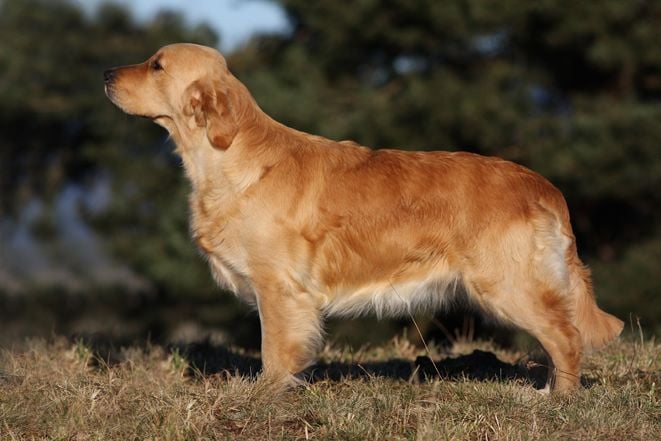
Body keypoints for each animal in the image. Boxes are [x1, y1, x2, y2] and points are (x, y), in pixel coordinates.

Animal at [105, 43, 620, 392]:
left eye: (156, 65)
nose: (106, 72)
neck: (230, 156)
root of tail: (544, 187)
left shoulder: (279, 287)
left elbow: (275, 353)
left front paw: (263, 397)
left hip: (506, 284)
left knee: (566, 336)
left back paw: (556, 398)